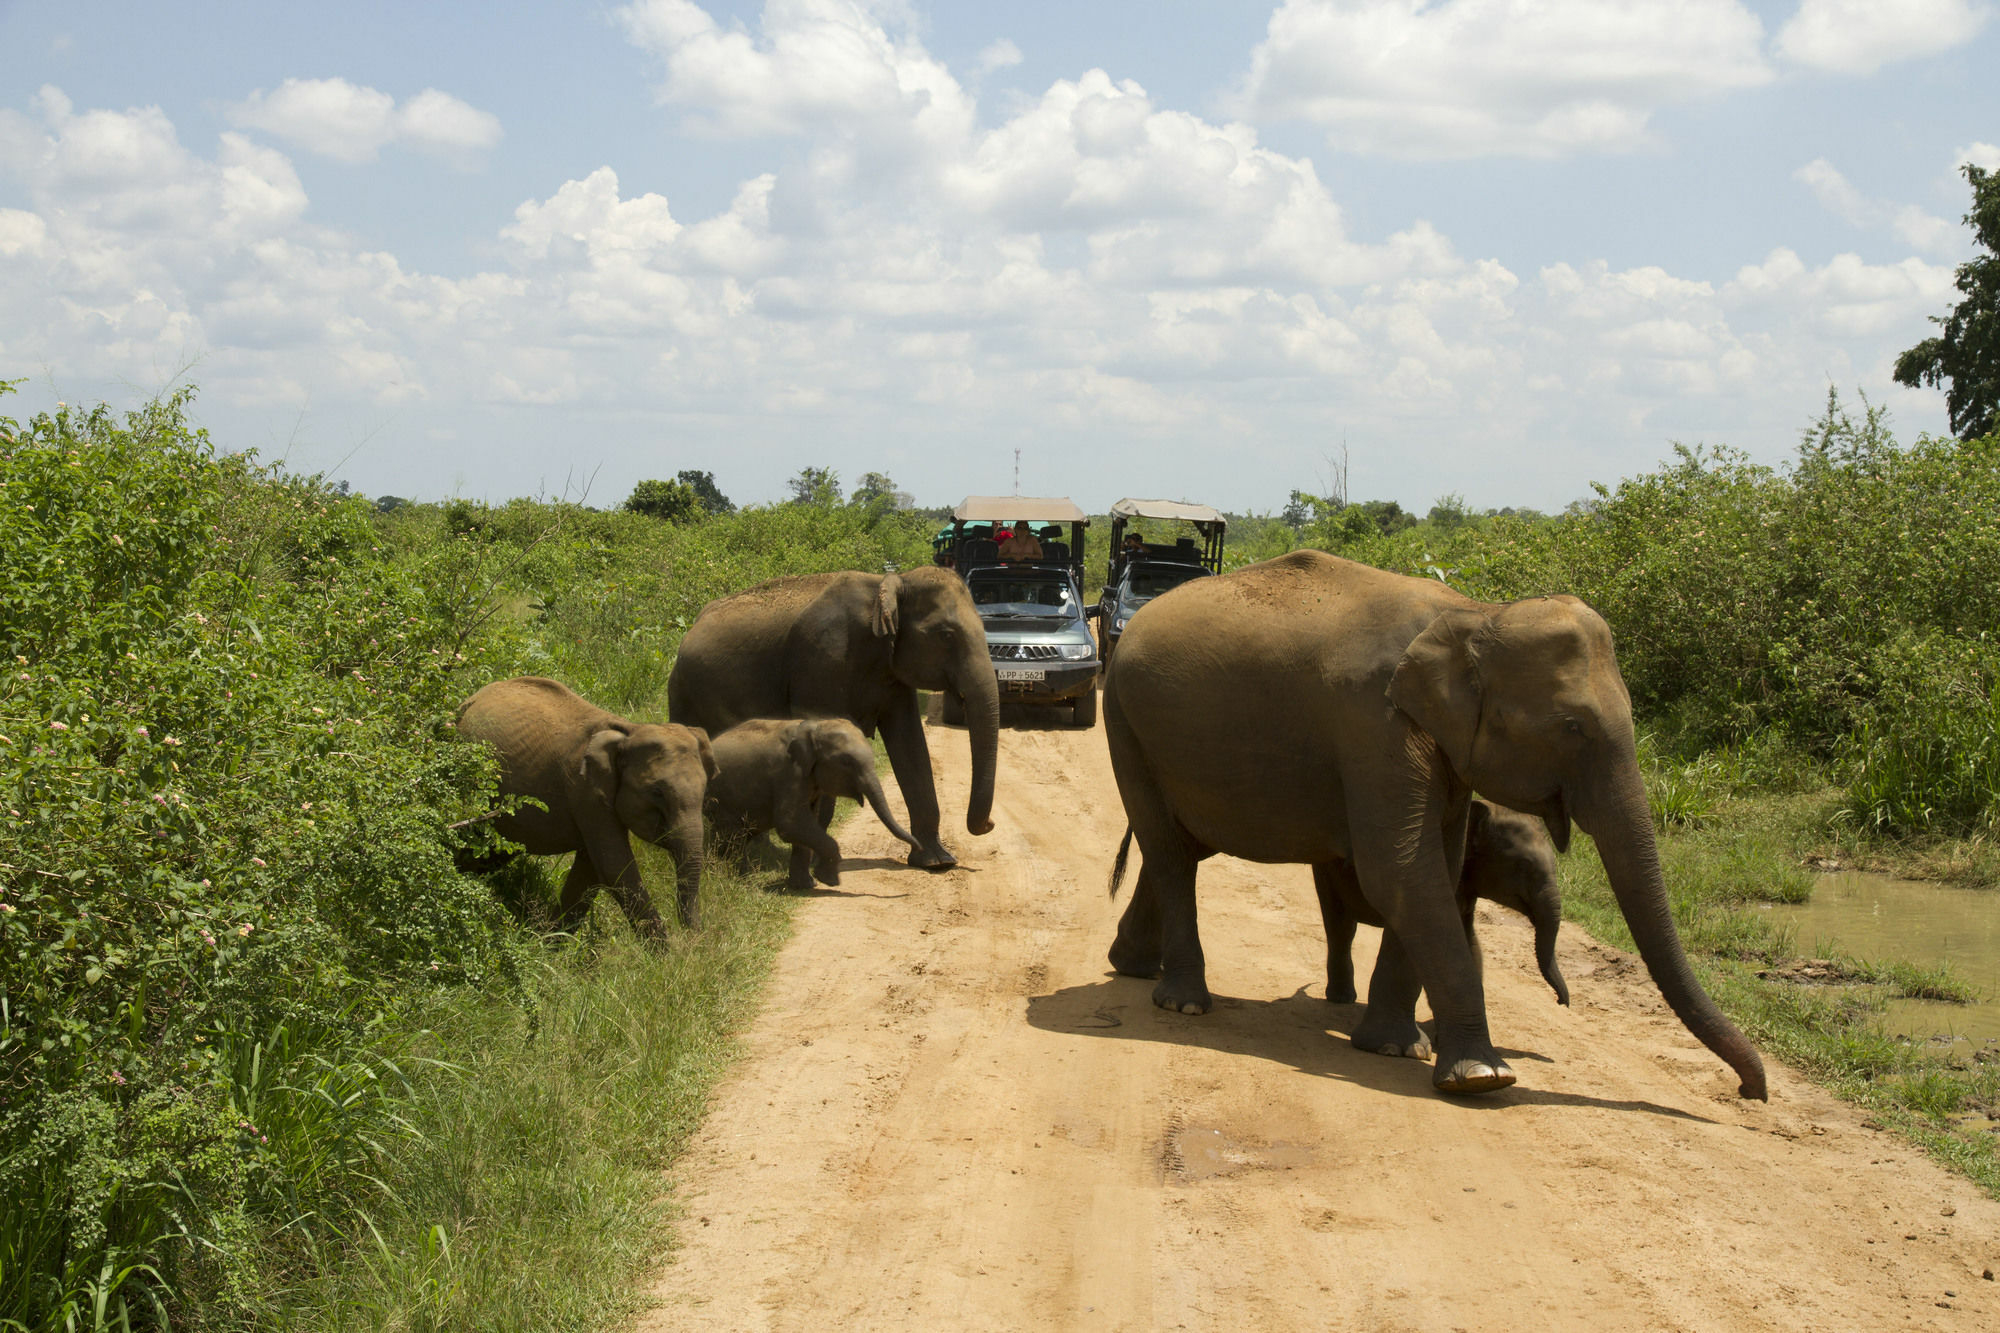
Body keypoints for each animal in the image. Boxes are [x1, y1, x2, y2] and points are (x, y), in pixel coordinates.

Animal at [458, 676, 724, 932]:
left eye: (704, 789)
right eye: (656, 792)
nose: (693, 935)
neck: (629, 731)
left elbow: (590, 871)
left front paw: (550, 939)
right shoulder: (584, 789)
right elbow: (614, 866)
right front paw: (665, 949)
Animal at [664, 564, 1000, 868]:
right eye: (946, 635)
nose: (990, 825)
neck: (890, 584)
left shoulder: (893, 673)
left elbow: (910, 743)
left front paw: (937, 862)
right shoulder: (823, 657)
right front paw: (817, 863)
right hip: (683, 692)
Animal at [704, 716, 920, 892]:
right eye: (846, 762)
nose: (917, 847)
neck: (816, 727)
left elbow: (806, 824)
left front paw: (806, 885)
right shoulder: (789, 773)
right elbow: (791, 823)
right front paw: (829, 880)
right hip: (722, 800)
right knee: (733, 837)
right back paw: (739, 879)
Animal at [1104, 544, 1776, 1096]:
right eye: (1572, 728)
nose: (1751, 1092)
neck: (1475, 615)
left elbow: (1438, 868)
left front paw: (1396, 1048)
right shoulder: (1373, 725)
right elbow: (1402, 869)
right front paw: (1484, 1075)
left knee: (1181, 848)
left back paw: (1134, 969)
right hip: (1124, 721)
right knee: (1170, 851)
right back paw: (1184, 1006)